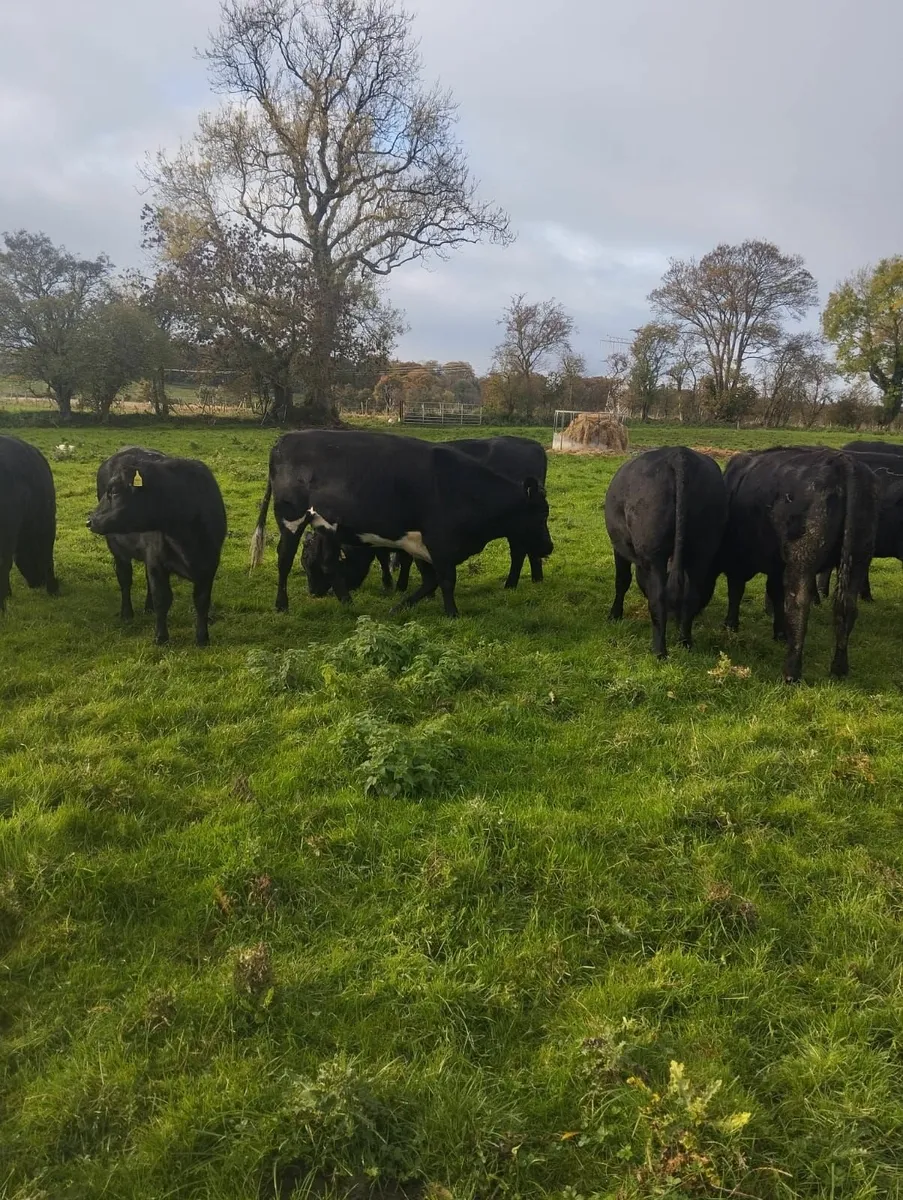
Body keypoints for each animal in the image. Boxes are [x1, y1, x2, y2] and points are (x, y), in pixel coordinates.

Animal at [87, 447, 227, 646]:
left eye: (114, 491)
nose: (90, 520)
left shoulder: (209, 565)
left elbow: (202, 601)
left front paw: (202, 638)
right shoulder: (156, 562)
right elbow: (162, 598)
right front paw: (161, 636)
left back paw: (148, 608)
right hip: (117, 549)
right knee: (125, 579)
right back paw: (127, 613)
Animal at [249, 429, 553, 618]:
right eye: (542, 515)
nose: (550, 547)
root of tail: (283, 440)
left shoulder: (420, 544)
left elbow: (429, 580)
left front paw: (399, 605)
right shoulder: (438, 542)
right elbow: (445, 580)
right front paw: (452, 613)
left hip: (324, 524)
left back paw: (346, 601)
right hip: (291, 518)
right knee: (284, 558)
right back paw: (282, 605)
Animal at [605, 446, 728, 658]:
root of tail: (679, 454)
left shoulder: (619, 546)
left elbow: (622, 580)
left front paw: (615, 614)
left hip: (654, 556)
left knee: (658, 599)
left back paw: (659, 651)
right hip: (702, 550)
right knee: (690, 596)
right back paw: (685, 642)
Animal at [718, 447, 879, 682]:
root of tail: (844, 463)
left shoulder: (737, 560)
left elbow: (736, 591)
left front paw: (730, 625)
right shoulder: (776, 565)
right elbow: (774, 593)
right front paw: (779, 632)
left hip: (802, 560)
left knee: (799, 603)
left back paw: (791, 671)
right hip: (858, 558)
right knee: (847, 607)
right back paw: (839, 669)